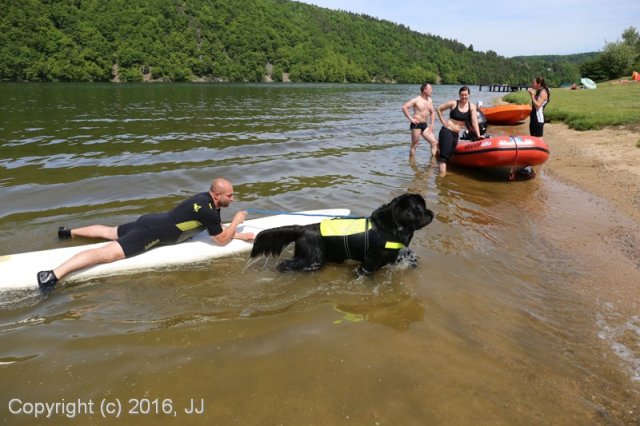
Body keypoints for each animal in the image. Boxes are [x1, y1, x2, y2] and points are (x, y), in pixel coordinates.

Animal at [250, 194, 436, 276]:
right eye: (421, 209)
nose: (432, 212)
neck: (391, 226)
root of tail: (303, 228)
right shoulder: (370, 261)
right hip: (313, 259)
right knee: (286, 264)